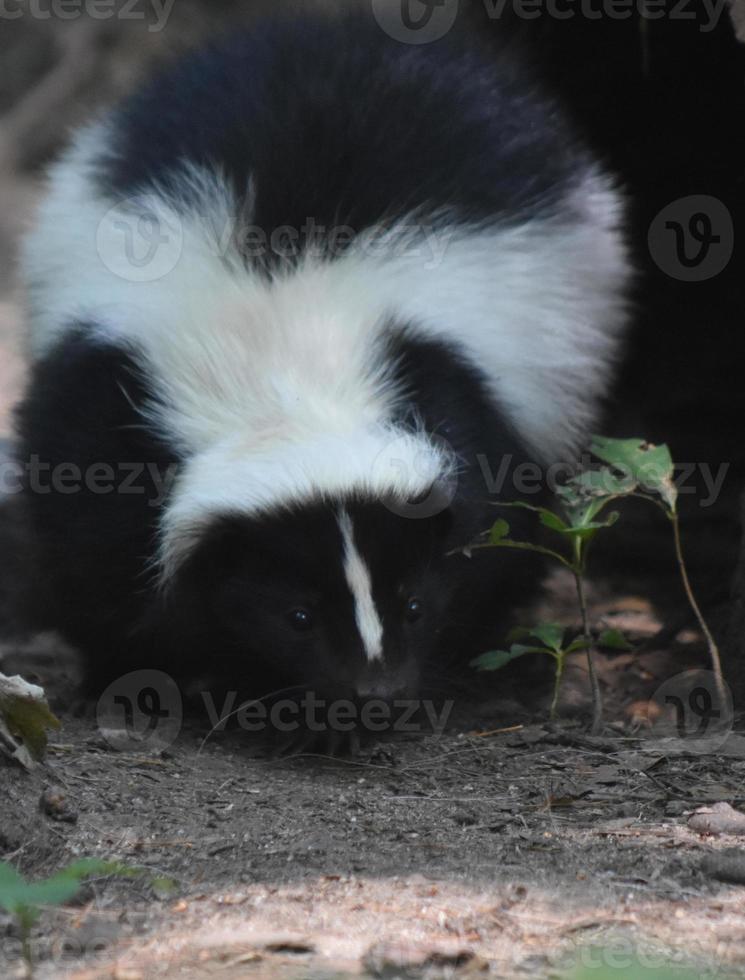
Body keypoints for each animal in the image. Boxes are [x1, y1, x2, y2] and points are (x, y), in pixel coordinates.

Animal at [16, 11, 628, 708]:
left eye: (412, 604)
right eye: (297, 614)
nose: (377, 689)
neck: (282, 380)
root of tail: (331, 34)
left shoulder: (462, 397)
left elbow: (495, 534)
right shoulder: (104, 404)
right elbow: (95, 561)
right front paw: (132, 675)